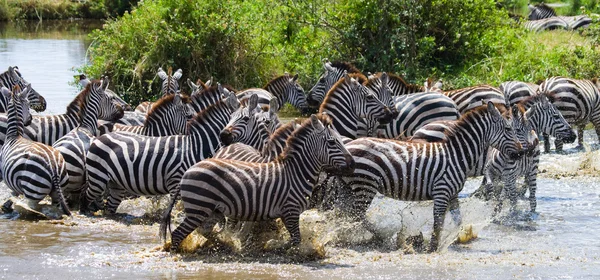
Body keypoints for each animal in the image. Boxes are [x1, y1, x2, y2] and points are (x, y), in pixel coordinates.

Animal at [0, 85, 69, 217]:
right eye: (27, 103)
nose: (30, 120)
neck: (14, 135)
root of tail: (53, 167)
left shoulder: (10, 181)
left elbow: (11, 196)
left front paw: (6, 206)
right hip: (59, 191)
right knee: (55, 207)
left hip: (33, 190)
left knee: (31, 208)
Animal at [78, 86, 240, 215]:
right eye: (189, 116)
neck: (196, 145)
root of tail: (99, 136)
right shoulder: (176, 182)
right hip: (98, 178)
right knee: (85, 196)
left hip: (115, 183)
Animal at [161, 114, 356, 252]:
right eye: (332, 142)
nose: (353, 164)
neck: (296, 174)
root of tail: (188, 171)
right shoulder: (290, 210)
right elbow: (296, 240)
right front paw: (283, 248)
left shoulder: (283, 213)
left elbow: (291, 238)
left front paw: (272, 244)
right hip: (198, 208)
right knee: (178, 233)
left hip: (211, 210)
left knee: (203, 231)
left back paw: (224, 244)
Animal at [340, 103, 524, 252]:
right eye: (508, 130)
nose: (522, 152)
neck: (457, 155)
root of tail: (349, 145)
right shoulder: (442, 191)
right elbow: (438, 223)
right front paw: (433, 248)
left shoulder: (452, 193)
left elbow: (457, 220)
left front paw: (458, 237)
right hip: (365, 185)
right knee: (356, 216)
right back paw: (381, 236)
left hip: (349, 188)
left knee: (344, 214)